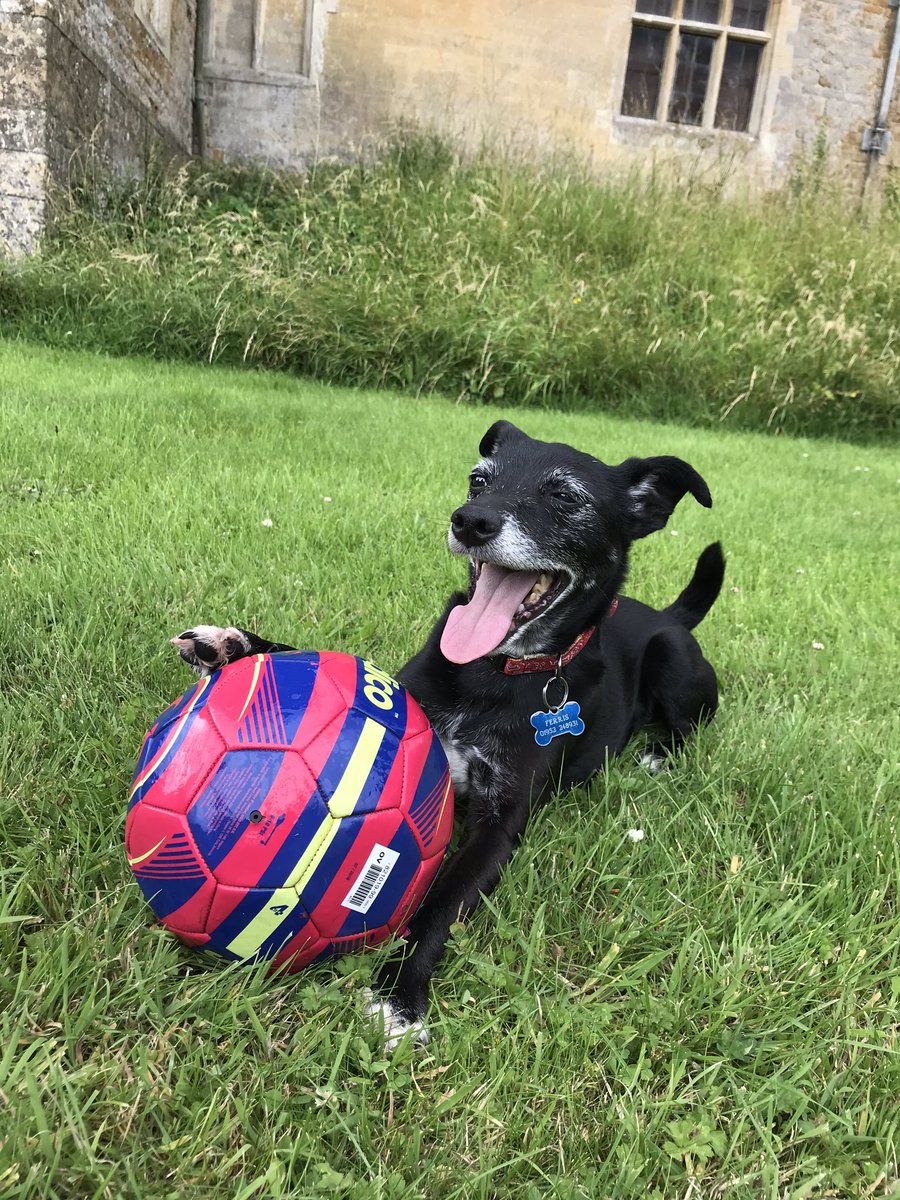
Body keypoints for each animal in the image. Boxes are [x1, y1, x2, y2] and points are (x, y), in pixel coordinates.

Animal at [174, 422, 724, 1051]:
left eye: (564, 496)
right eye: (478, 480)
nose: (470, 521)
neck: (492, 671)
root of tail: (669, 616)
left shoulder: (500, 823)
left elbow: (440, 900)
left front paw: (399, 994)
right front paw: (235, 643)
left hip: (674, 662)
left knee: (689, 727)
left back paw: (656, 756)